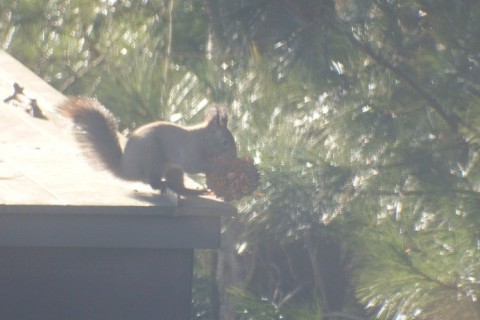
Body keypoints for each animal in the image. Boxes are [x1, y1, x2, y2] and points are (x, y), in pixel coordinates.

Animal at [61, 96, 237, 196]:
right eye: (225, 142)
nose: (235, 157)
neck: (203, 139)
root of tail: (126, 170)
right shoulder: (189, 151)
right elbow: (195, 166)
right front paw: (221, 168)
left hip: (172, 169)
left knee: (178, 186)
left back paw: (193, 191)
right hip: (154, 160)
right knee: (151, 181)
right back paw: (161, 184)